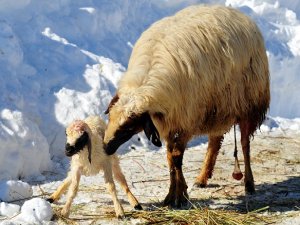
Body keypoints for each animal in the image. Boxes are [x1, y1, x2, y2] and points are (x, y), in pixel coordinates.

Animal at [103, 4, 270, 207]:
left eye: (129, 127)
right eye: (109, 118)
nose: (106, 147)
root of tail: (236, 12)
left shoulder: (184, 121)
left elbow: (176, 157)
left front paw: (179, 195)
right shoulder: (169, 122)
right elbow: (170, 158)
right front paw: (174, 194)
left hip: (248, 104)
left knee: (245, 144)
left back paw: (249, 183)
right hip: (217, 107)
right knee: (215, 141)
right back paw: (202, 177)